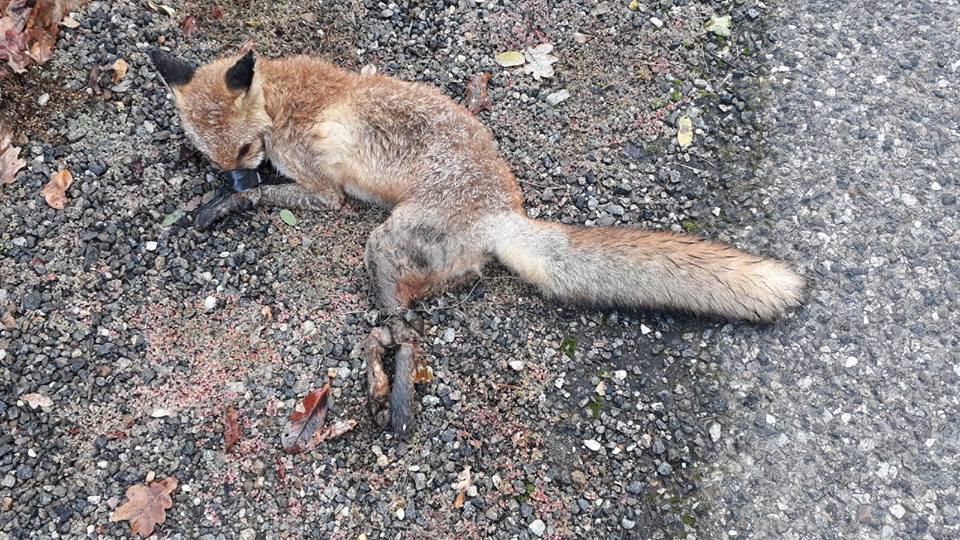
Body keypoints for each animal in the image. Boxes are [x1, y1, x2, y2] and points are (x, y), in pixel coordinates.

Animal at [149, 47, 805, 438]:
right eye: (213, 155)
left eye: (243, 150)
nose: (233, 177)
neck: (283, 99)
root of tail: (501, 215)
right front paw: (216, 201)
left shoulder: (324, 188)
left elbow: (271, 194)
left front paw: (229, 203)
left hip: (382, 244)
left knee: (405, 333)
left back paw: (394, 400)